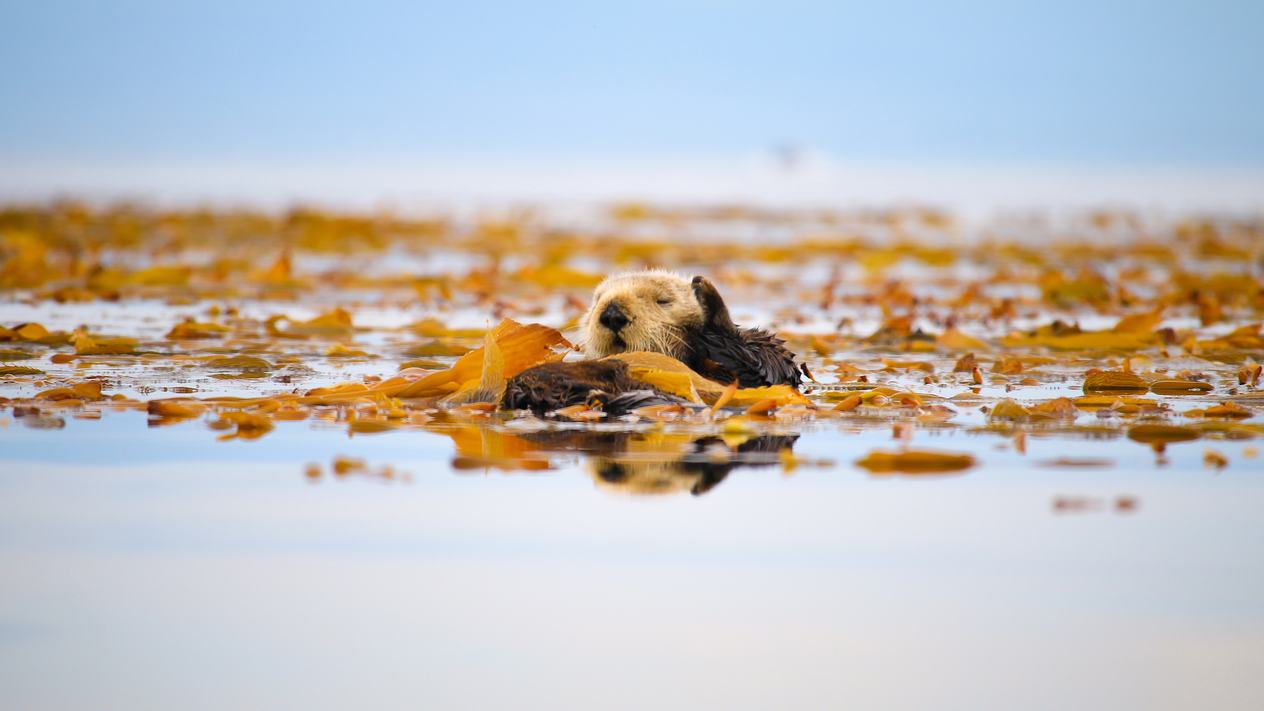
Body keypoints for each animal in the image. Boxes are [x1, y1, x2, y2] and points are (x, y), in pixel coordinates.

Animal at [501, 271, 802, 415]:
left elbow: (766, 360)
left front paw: (705, 293)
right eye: (598, 300)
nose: (612, 313)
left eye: (663, 300)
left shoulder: (771, 366)